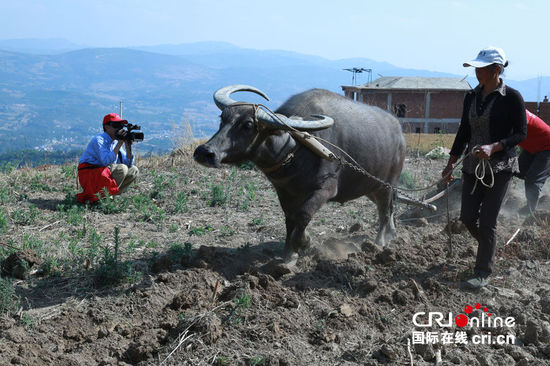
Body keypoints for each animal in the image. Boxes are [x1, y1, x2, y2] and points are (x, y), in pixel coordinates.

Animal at [193, 84, 406, 258]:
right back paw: (392, 234)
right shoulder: (285, 192)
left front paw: (304, 243)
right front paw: (288, 254)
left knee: (385, 211)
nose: (205, 152)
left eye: (248, 125)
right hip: (371, 186)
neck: (295, 148)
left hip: (388, 184)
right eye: (223, 118)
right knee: (387, 208)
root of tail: (399, 131)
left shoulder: (325, 189)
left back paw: (380, 243)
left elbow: (303, 215)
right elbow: (290, 220)